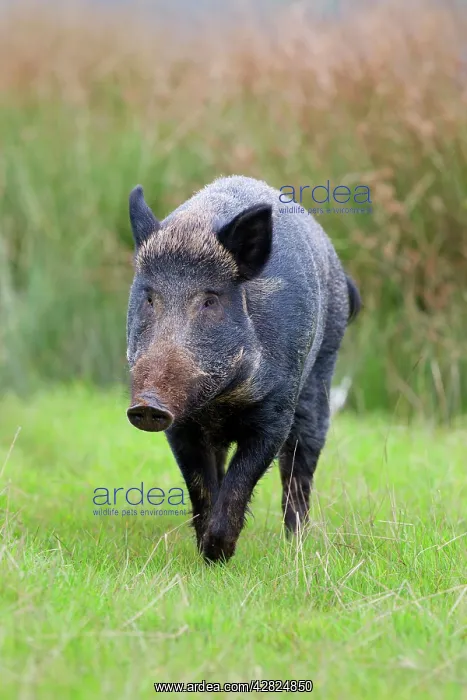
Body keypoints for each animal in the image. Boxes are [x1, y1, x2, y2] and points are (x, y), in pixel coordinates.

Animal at [126, 176, 361, 563]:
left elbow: (242, 480)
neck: (221, 402)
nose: (147, 405)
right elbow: (202, 485)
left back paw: (296, 545)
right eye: (149, 298)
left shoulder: (275, 413)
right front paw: (206, 553)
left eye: (210, 300)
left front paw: (217, 553)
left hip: (322, 374)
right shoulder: (182, 426)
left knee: (300, 467)